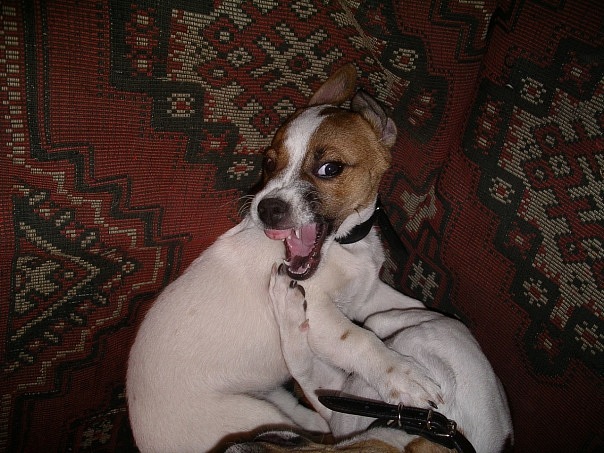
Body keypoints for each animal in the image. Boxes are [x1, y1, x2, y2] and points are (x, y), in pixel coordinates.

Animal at [127, 64, 443, 452]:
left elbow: (412, 309)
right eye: (268, 163)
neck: (344, 247)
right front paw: (400, 375)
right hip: (250, 414)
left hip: (270, 398)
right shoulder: (321, 316)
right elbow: (359, 339)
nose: (266, 208)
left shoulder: (367, 296)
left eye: (330, 169)